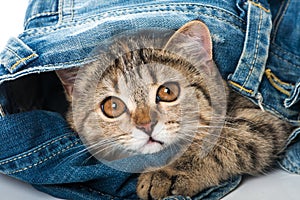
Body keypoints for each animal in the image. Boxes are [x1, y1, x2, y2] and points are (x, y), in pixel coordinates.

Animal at [55, 21, 292, 199]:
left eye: (168, 91)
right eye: (112, 106)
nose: (146, 125)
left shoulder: (265, 119)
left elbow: (223, 141)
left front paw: (167, 172)